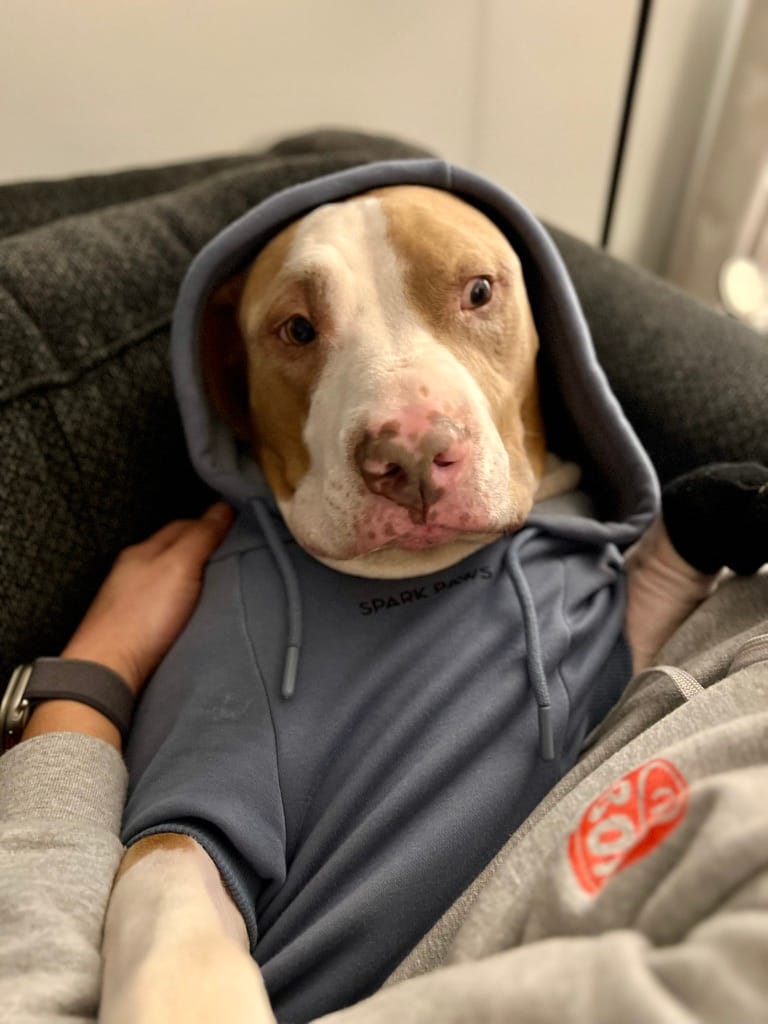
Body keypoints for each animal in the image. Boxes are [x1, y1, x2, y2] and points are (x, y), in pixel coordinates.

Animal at [99, 176, 720, 1024]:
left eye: (480, 291)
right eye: (296, 329)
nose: (413, 452)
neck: (409, 576)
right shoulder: (201, 779)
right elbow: (175, 907)